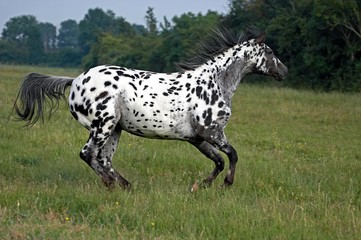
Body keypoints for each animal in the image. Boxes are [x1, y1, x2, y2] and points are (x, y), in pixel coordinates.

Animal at [13, 29, 286, 190]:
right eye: (270, 52)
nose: (283, 71)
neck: (214, 82)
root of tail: (76, 81)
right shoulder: (212, 132)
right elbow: (233, 155)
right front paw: (227, 183)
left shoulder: (197, 138)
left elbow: (218, 161)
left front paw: (201, 186)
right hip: (103, 125)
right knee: (88, 154)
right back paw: (113, 184)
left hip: (114, 129)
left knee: (103, 159)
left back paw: (124, 185)